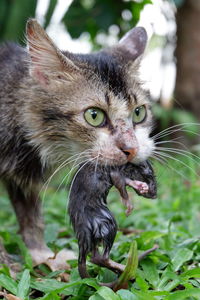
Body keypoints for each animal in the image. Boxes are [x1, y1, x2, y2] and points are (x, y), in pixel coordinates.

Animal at [0, 18, 155, 270]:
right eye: (94, 116)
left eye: (139, 113)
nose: (131, 149)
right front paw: (8, 267)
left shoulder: (23, 178)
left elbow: (31, 217)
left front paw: (41, 255)